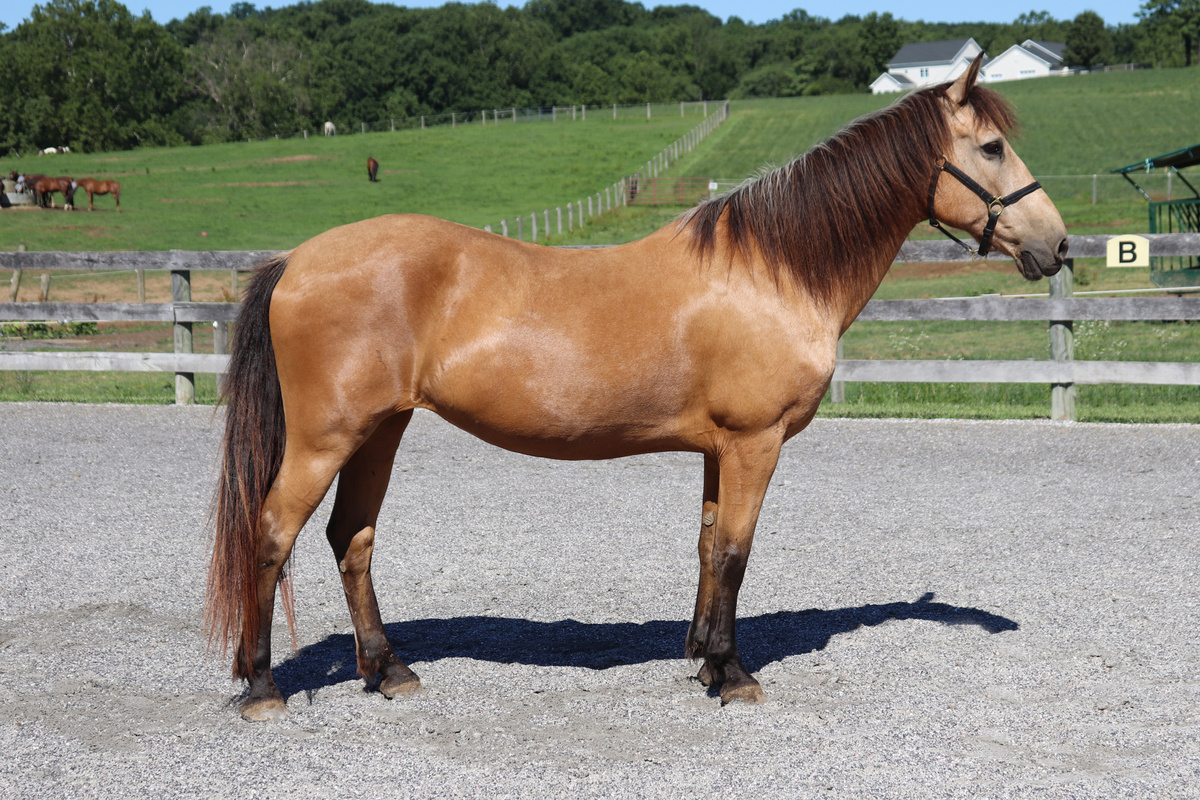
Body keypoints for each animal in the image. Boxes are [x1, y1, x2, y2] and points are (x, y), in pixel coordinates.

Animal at [207, 57, 1068, 721]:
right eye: (991, 146)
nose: (1057, 246)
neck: (772, 272)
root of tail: (296, 259)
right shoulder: (754, 443)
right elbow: (737, 552)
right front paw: (736, 676)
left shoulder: (720, 449)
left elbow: (709, 546)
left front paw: (705, 661)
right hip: (325, 439)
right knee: (272, 533)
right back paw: (261, 687)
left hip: (380, 431)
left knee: (350, 539)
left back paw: (389, 672)